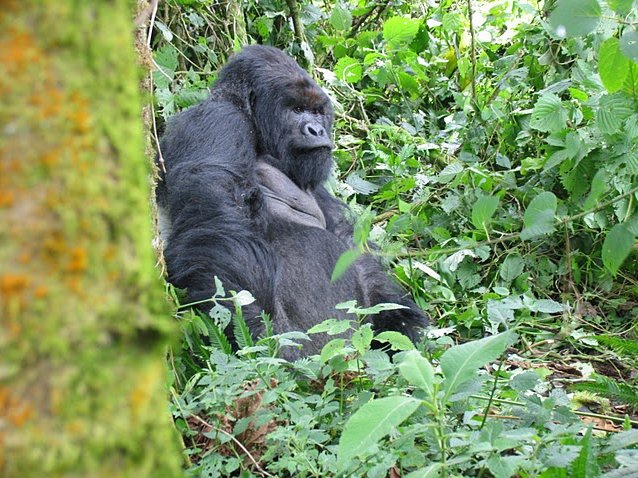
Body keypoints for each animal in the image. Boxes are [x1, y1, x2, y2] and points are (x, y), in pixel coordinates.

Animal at [155, 45, 428, 358]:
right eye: (296, 110)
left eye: (317, 112)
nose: (317, 130)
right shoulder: (216, 120)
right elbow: (218, 229)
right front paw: (260, 336)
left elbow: (348, 244)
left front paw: (399, 321)